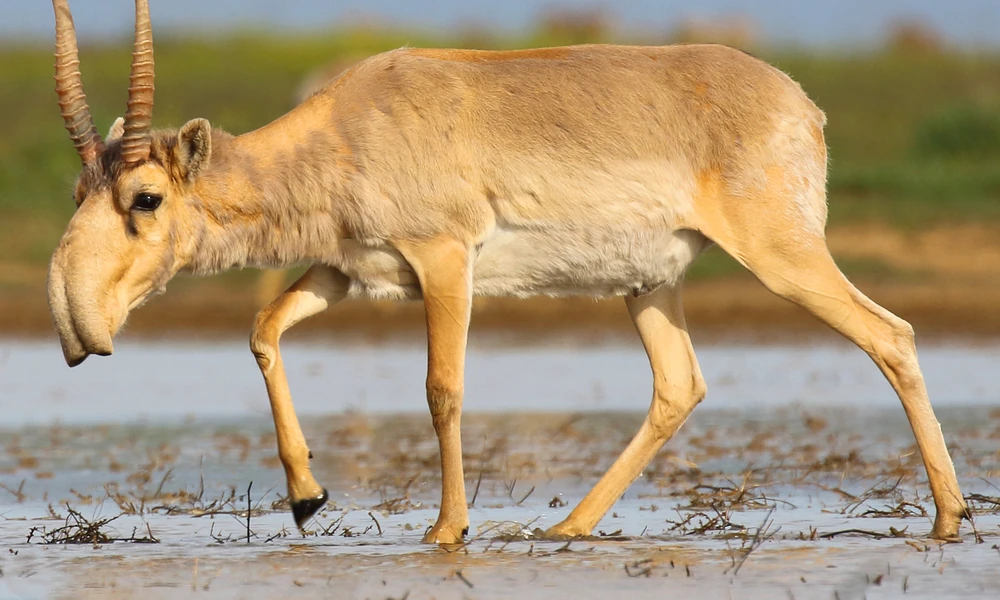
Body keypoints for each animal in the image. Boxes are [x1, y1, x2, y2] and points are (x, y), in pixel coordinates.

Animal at [47, 0, 969, 544]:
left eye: (145, 197)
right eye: (79, 189)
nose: (75, 324)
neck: (347, 126)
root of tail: (801, 104)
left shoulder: (445, 262)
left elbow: (442, 389)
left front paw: (445, 530)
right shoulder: (351, 273)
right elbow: (262, 329)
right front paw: (308, 497)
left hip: (783, 256)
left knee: (890, 334)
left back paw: (950, 515)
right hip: (650, 286)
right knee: (680, 385)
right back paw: (566, 529)